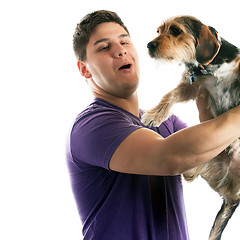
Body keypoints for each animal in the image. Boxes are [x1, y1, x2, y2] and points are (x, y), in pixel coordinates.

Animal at [141, 15, 240, 239]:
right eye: (158, 31)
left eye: (176, 31)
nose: (150, 45)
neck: (209, 68)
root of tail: (232, 195)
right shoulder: (193, 86)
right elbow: (169, 95)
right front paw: (154, 115)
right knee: (187, 172)